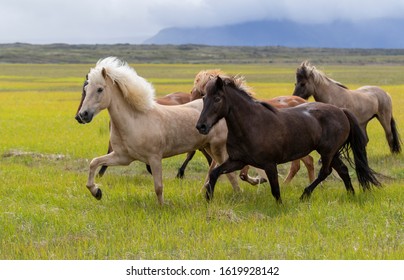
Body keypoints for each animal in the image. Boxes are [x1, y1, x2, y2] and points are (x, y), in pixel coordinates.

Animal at [75, 58, 240, 205]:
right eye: (85, 90)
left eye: (100, 89)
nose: (83, 115)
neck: (135, 121)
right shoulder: (123, 157)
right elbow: (94, 163)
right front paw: (96, 192)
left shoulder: (154, 158)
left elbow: (158, 187)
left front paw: (162, 207)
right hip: (209, 147)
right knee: (222, 170)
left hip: (218, 148)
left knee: (228, 173)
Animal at [196, 76, 382, 203]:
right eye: (204, 98)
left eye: (217, 98)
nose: (201, 126)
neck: (251, 124)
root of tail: (341, 111)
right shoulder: (238, 161)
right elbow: (214, 173)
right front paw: (208, 199)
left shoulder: (269, 164)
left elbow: (275, 190)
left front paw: (280, 206)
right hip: (333, 152)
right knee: (342, 170)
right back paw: (351, 194)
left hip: (327, 151)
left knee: (325, 171)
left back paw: (305, 195)